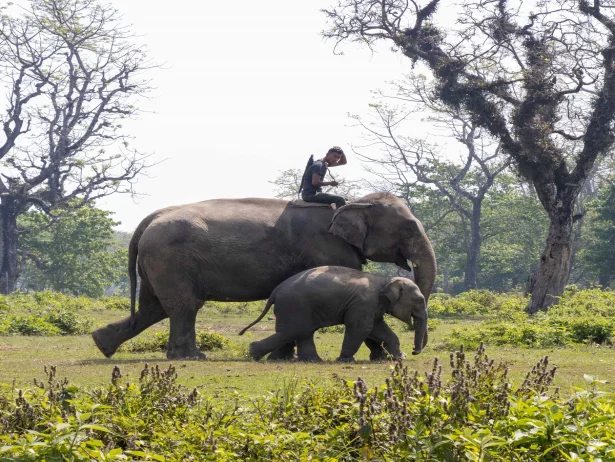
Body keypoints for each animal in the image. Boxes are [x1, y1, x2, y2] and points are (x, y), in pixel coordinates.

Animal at [239, 268, 428, 360]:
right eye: (419, 301)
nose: (414, 351)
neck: (384, 279)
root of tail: (276, 290)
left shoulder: (371, 306)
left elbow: (378, 328)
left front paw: (399, 358)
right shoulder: (364, 303)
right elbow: (361, 328)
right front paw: (345, 360)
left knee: (300, 331)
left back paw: (310, 360)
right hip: (295, 305)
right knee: (294, 331)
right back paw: (254, 353)